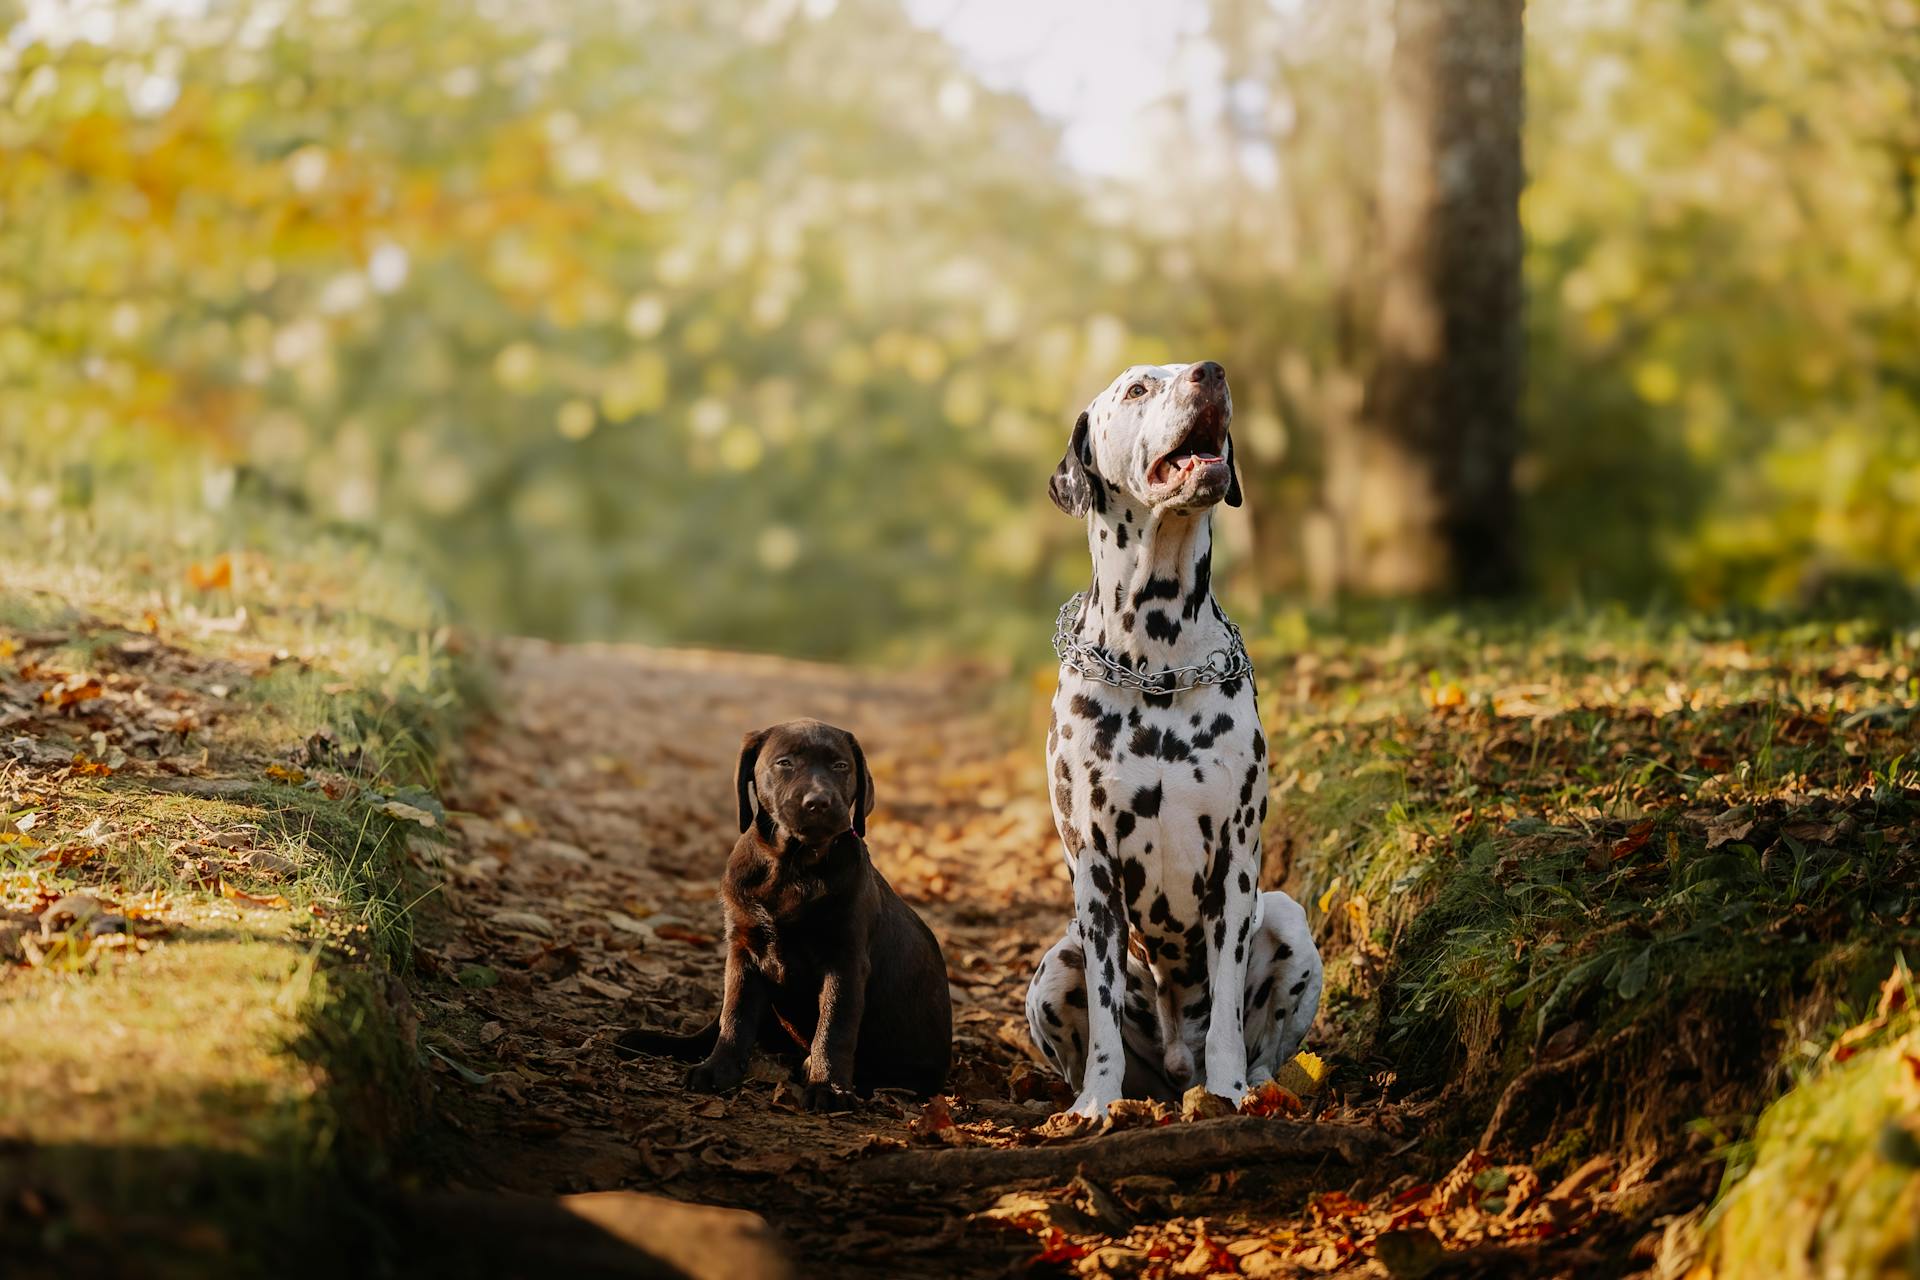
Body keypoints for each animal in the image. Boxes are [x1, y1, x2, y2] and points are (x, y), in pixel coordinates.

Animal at [618, 721, 948, 1113]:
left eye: (841, 766)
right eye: (785, 762)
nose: (818, 802)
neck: (792, 866)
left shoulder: (845, 960)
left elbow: (834, 1026)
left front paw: (828, 1087)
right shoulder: (743, 950)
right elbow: (735, 1016)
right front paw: (717, 1070)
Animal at [1021, 360, 1320, 1120]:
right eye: (1137, 389)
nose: (1211, 372)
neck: (1156, 660)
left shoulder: (1236, 864)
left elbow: (1228, 1019)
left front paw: (1229, 1091)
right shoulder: (1094, 873)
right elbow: (1103, 1014)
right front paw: (1096, 1104)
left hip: (1287, 918)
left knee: (1262, 1042)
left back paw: (1256, 1089)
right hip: (1057, 963)